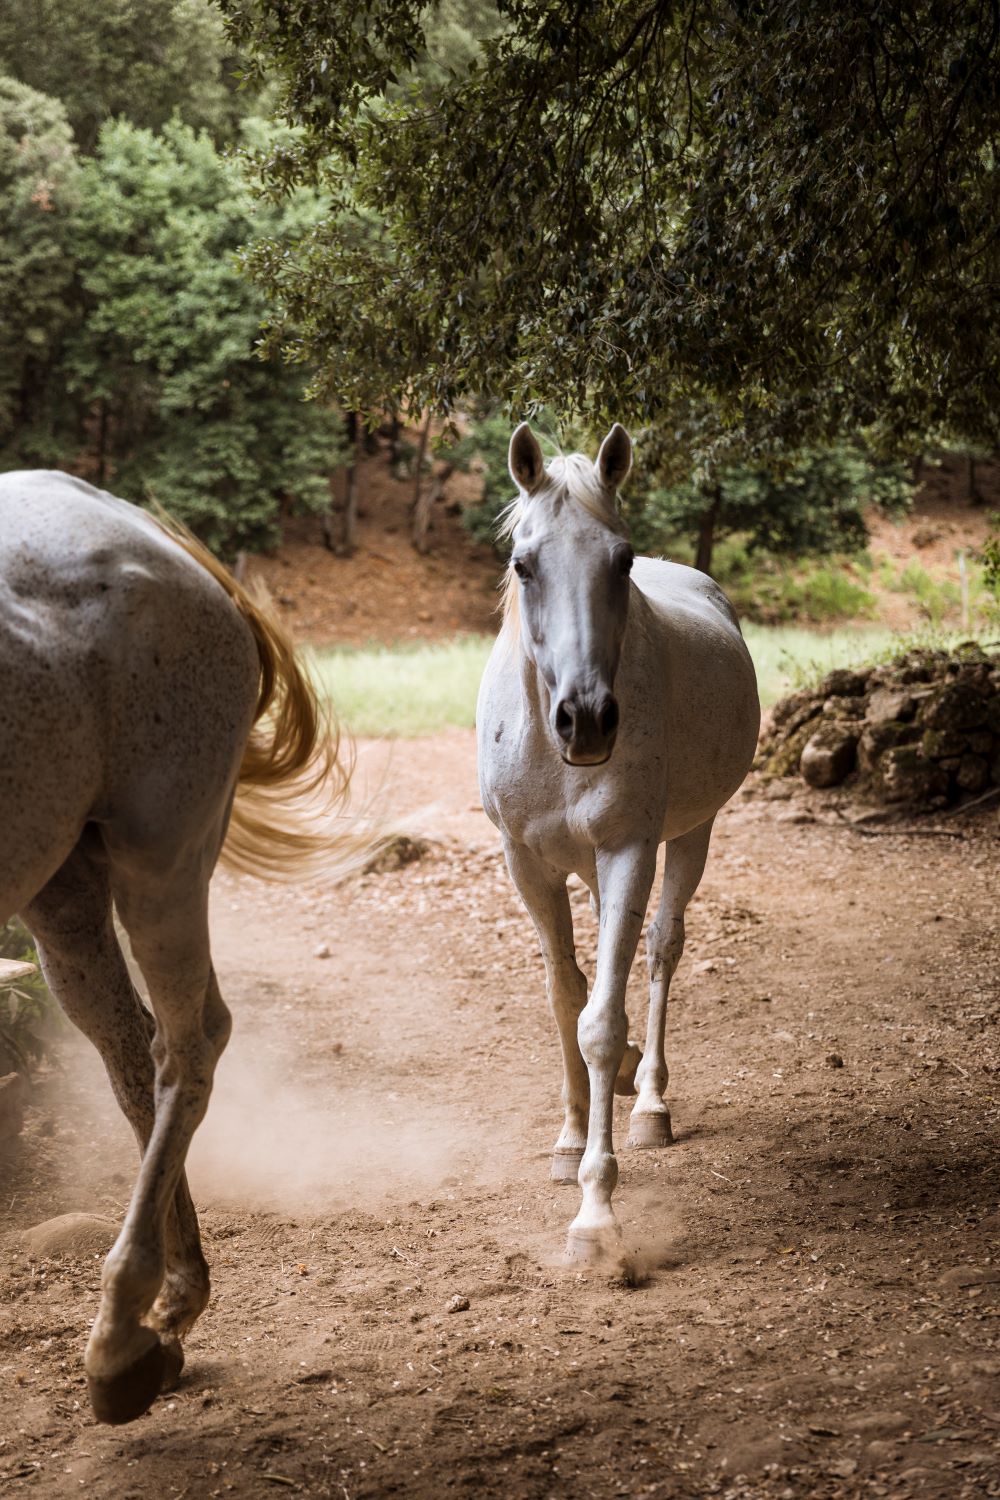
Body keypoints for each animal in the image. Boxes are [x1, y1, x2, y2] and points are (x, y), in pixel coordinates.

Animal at [0, 474, 359, 1422]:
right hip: (62, 888)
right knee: (135, 1053)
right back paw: (169, 1302)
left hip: (157, 861)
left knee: (184, 1047)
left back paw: (122, 1330)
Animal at [479, 426, 758, 1266]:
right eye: (523, 564)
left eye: (622, 560)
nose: (588, 720)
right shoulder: (526, 865)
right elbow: (565, 997)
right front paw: (570, 1141)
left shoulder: (632, 849)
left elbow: (600, 1024)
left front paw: (596, 1214)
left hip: (690, 836)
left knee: (661, 949)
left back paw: (651, 1101)